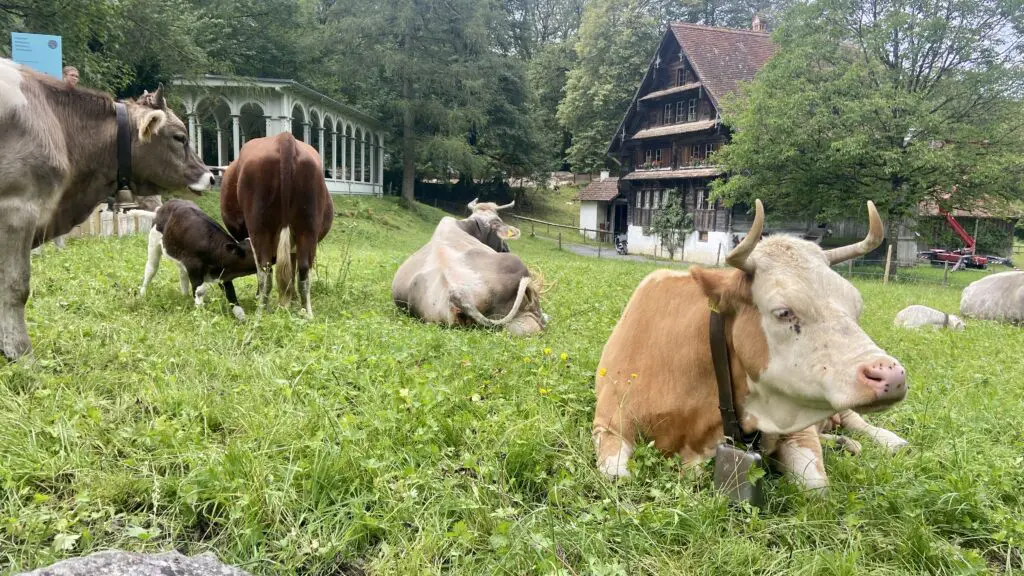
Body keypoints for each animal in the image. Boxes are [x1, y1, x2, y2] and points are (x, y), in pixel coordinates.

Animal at [219, 132, 331, 315]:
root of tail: (284, 138)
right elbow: (292, 268)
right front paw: (291, 299)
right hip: (308, 227)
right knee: (303, 269)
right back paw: (306, 312)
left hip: (259, 228)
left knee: (265, 270)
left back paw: (262, 309)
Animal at [598, 199, 909, 491]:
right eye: (783, 312)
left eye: (856, 305)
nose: (891, 374)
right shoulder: (607, 423)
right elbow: (616, 477)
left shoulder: (797, 430)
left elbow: (816, 487)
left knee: (856, 420)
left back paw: (889, 441)